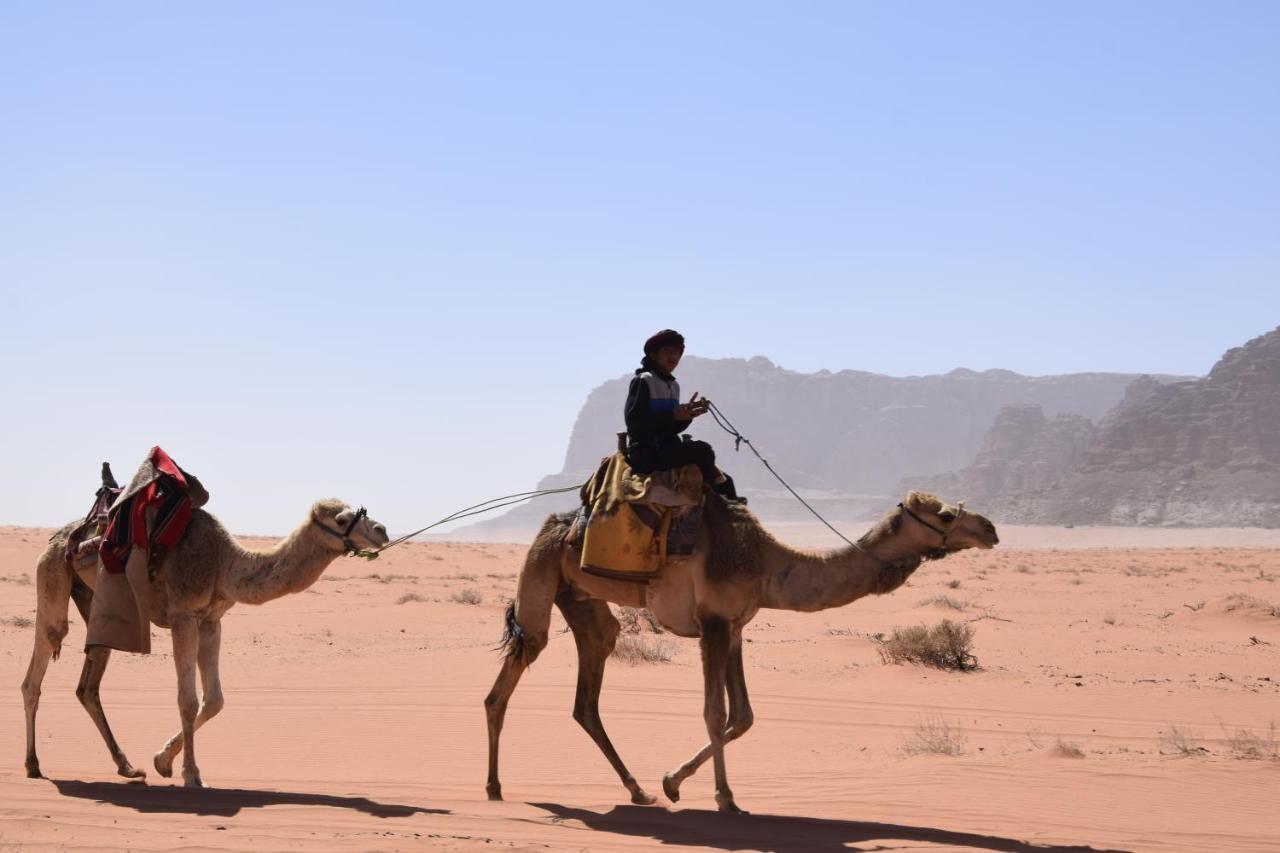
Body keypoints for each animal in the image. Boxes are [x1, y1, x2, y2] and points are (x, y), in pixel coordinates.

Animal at [22, 499, 386, 783]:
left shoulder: (211, 621)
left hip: (98, 605)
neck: (224, 564)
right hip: (51, 572)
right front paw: (192, 774)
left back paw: (126, 766)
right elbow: (187, 699)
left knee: (88, 684)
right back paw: (33, 765)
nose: (381, 530)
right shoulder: (184, 616)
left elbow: (214, 700)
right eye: (341, 519)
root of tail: (60, 538)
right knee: (42, 658)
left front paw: (162, 762)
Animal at [486, 489, 998, 809]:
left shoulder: (734, 627)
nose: (991, 528)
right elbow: (715, 713)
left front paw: (671, 783)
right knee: (512, 674)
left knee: (589, 686)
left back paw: (637, 791)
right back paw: (494, 788)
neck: (768, 564)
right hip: (541, 571)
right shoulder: (712, 624)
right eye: (946, 515)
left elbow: (745, 715)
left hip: (582, 598)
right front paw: (725, 799)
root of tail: (554, 525)